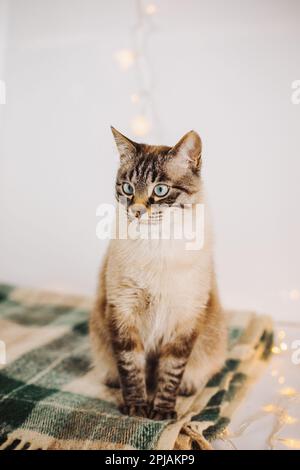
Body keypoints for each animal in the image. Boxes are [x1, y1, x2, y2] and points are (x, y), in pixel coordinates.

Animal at [90, 126, 226, 420]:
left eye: (160, 190)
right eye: (128, 188)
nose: (137, 211)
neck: (157, 245)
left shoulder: (185, 319)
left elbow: (170, 373)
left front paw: (162, 412)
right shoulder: (124, 313)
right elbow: (131, 369)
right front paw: (136, 408)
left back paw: (188, 386)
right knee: (113, 368)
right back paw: (114, 381)